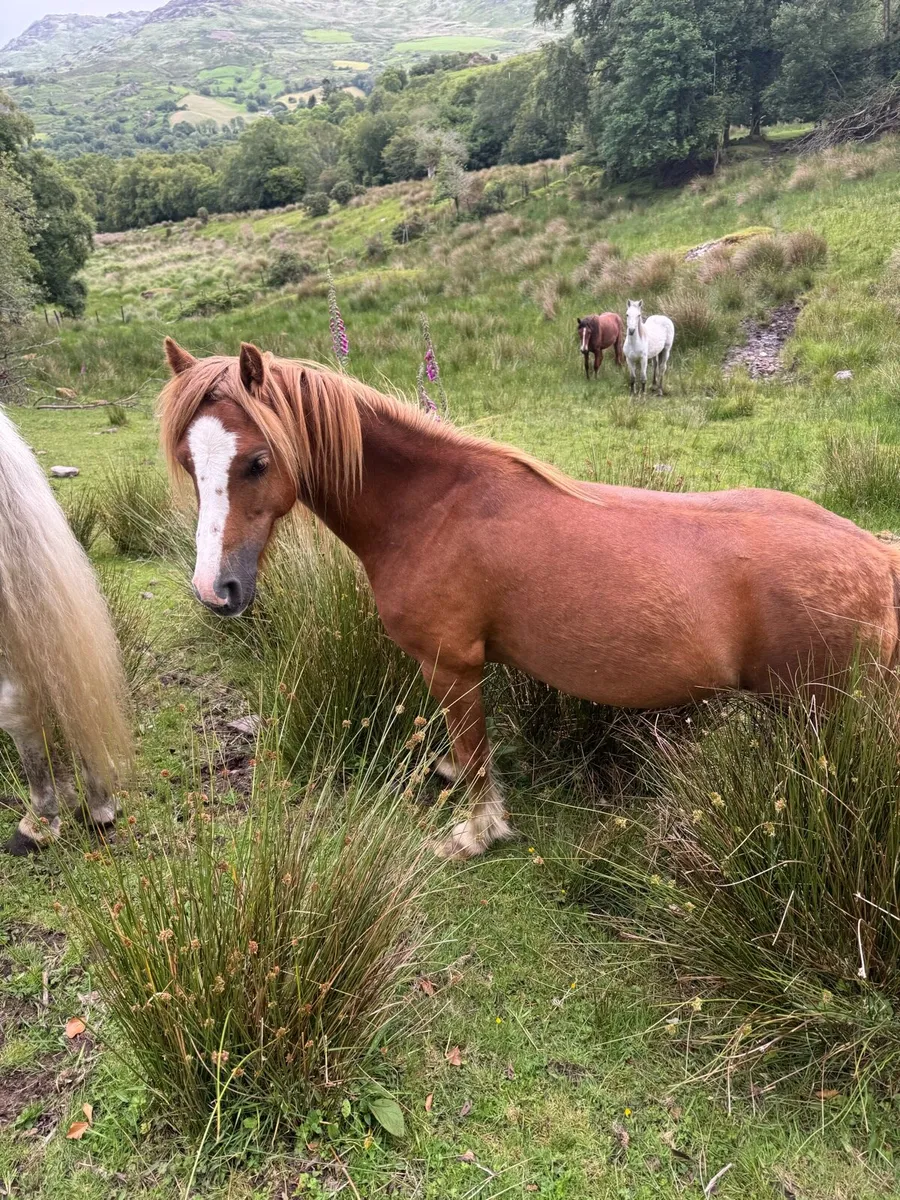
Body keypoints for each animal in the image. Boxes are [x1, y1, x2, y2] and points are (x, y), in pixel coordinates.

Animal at [159, 337, 900, 860]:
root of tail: (877, 555)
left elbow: (475, 748)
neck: (431, 508)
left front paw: (476, 830)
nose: (215, 589)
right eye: (191, 464)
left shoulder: (453, 665)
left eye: (257, 462)